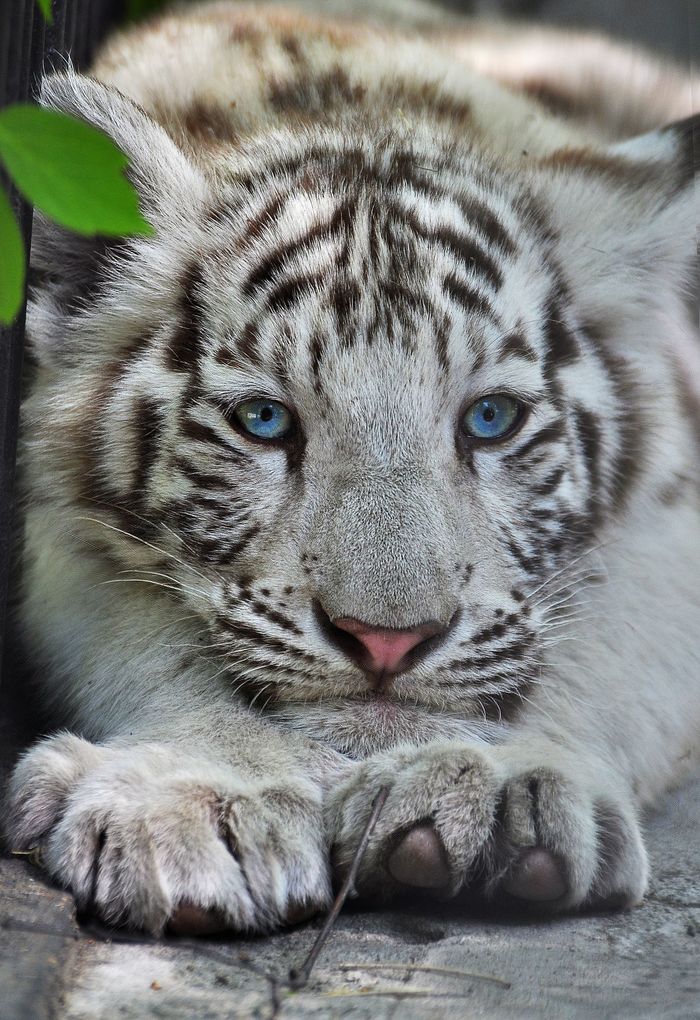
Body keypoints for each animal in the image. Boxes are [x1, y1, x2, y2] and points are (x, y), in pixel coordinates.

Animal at [2, 0, 697, 934]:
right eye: (264, 421)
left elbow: (607, 665)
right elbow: (148, 647)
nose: (387, 640)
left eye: (490, 419)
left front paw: (497, 791)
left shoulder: (668, 529)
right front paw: (199, 796)